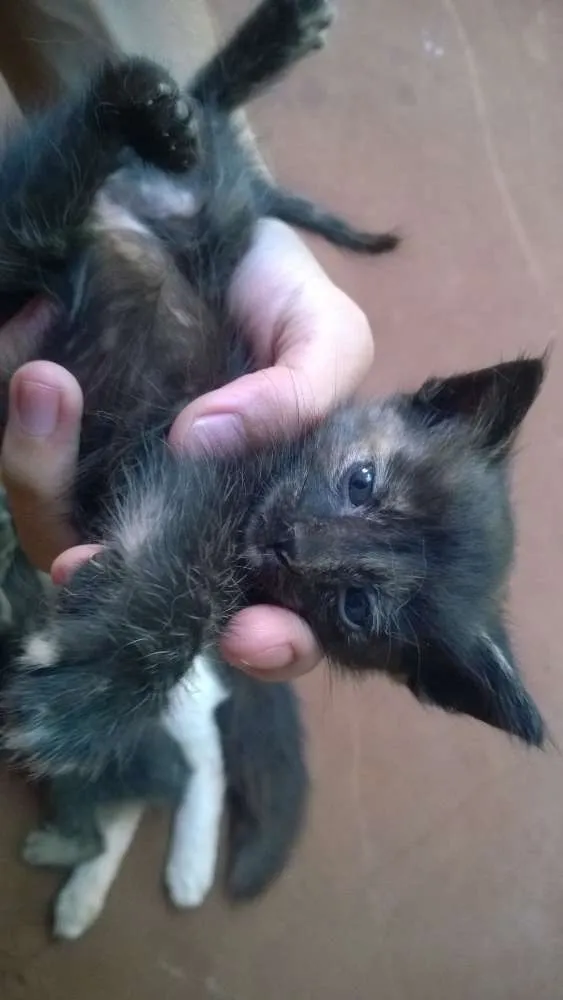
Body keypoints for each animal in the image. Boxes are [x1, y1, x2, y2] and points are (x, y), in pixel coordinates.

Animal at [0, 0, 548, 936]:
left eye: (355, 607)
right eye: (360, 481)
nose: (293, 541)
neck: (259, 490)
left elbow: (173, 587)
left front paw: (91, 689)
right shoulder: (208, 462)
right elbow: (179, 590)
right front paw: (96, 697)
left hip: (38, 243)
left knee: (58, 187)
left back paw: (151, 99)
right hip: (177, 220)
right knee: (182, 149)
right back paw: (202, 78)